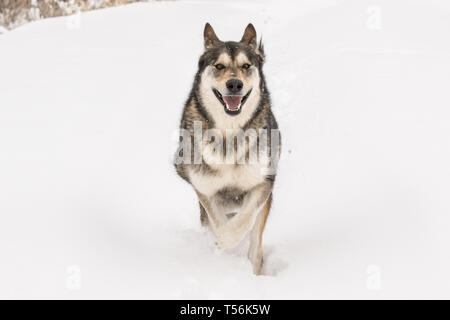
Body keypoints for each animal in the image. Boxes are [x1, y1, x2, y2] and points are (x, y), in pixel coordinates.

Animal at [174, 22, 280, 274]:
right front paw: (222, 241)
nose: (234, 84)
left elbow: (246, 219)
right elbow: (217, 218)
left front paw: (227, 239)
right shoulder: (205, 188)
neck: (228, 135)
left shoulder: (264, 182)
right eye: (219, 66)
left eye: (246, 66)